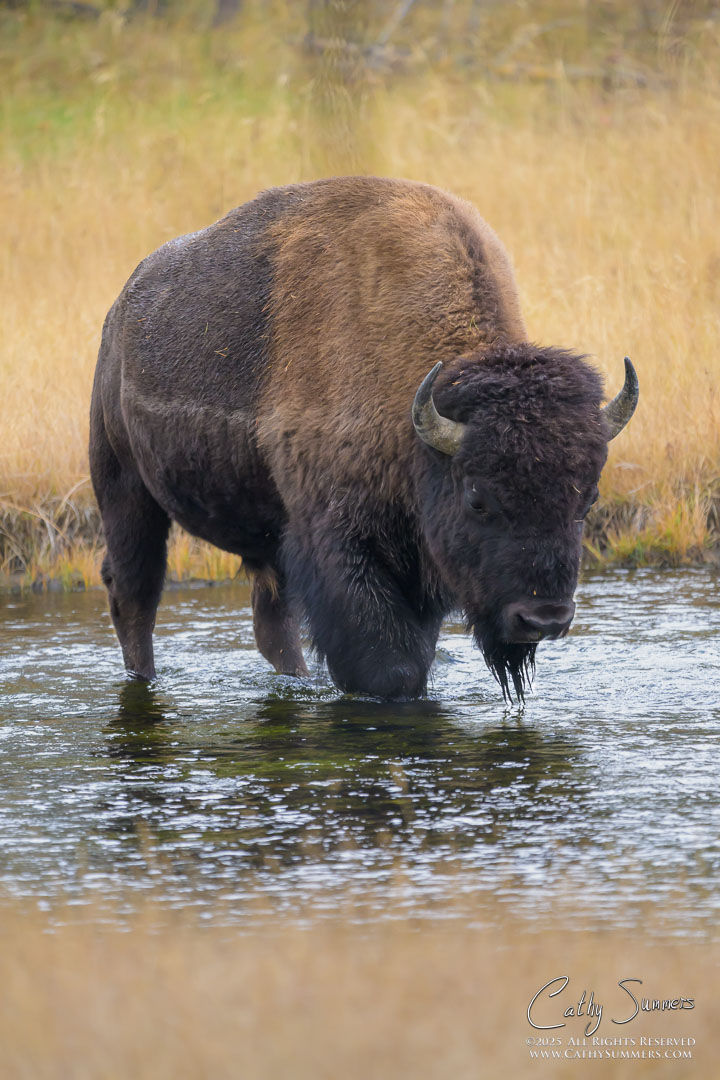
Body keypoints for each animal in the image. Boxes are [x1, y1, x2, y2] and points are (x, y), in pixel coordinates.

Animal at [90, 176, 638, 701]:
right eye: (477, 499)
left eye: (587, 500)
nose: (542, 618)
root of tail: (120, 313)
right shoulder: (341, 543)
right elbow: (388, 665)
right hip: (124, 487)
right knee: (134, 591)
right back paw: (145, 678)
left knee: (270, 621)